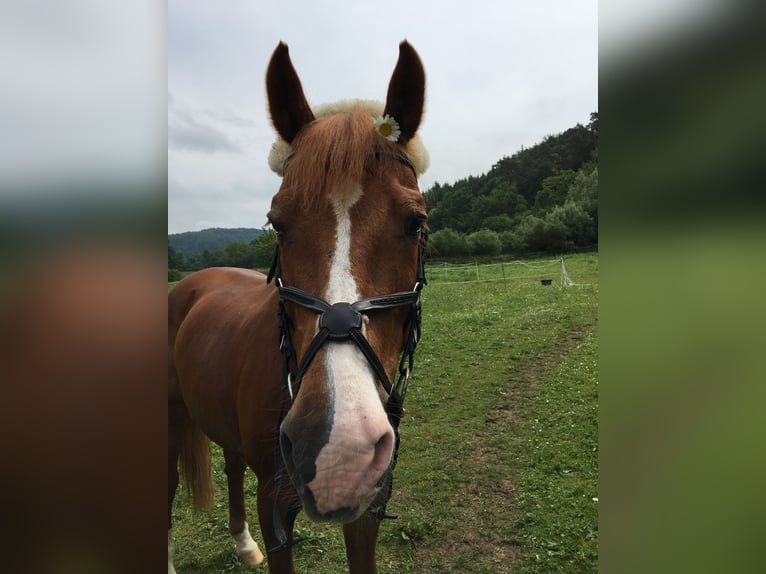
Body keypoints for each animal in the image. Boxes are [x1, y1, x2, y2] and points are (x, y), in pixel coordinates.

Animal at [168, 41, 429, 574]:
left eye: (416, 223)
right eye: (278, 224)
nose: (337, 450)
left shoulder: (366, 510)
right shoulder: (275, 504)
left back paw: (242, 543)